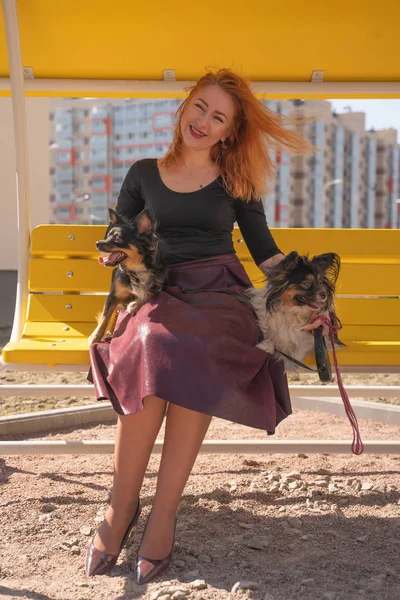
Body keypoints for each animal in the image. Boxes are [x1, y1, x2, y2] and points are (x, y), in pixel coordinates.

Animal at [88, 207, 168, 344]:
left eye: (117, 239)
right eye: (107, 236)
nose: (97, 243)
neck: (135, 269)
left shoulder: (157, 287)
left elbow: (147, 294)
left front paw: (134, 305)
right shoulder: (113, 296)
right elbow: (104, 318)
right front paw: (95, 337)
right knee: (113, 315)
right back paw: (109, 333)